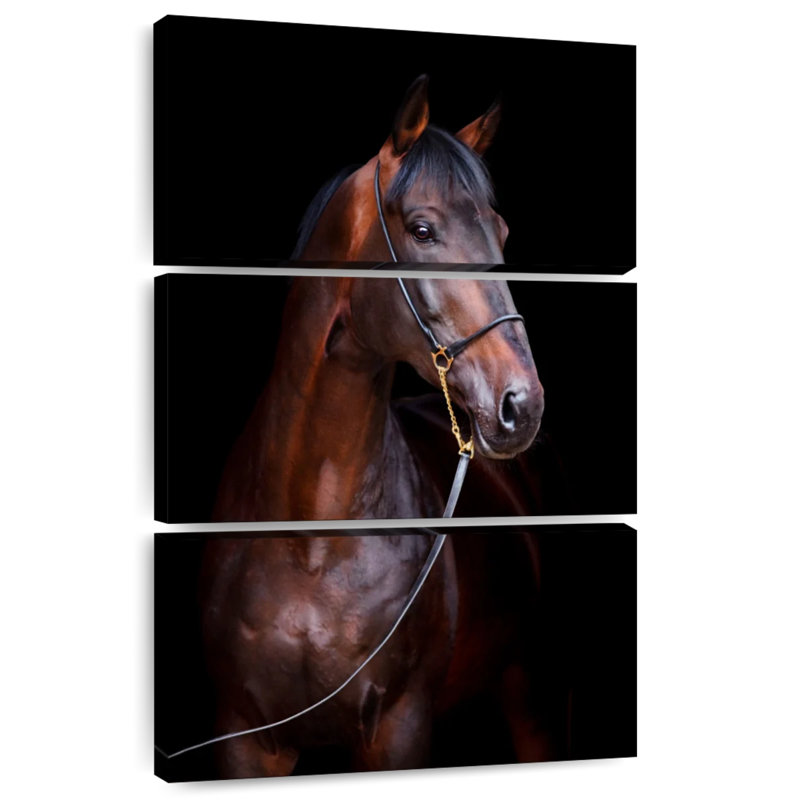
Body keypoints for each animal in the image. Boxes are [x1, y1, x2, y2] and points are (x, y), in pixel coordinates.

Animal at [200, 77, 554, 777]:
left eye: (501, 229)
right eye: (422, 230)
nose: (520, 404)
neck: (312, 539)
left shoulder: (399, 729)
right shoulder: (244, 737)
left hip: (527, 687)